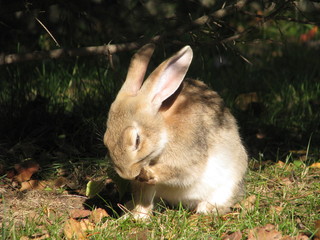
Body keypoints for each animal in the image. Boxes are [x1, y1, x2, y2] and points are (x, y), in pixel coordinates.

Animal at [104, 43, 249, 219]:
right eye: (106, 141)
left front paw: (150, 174)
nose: (127, 174)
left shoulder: (187, 157)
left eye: (137, 140)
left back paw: (206, 208)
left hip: (228, 183)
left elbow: (181, 172)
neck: (164, 129)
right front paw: (137, 216)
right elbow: (144, 199)